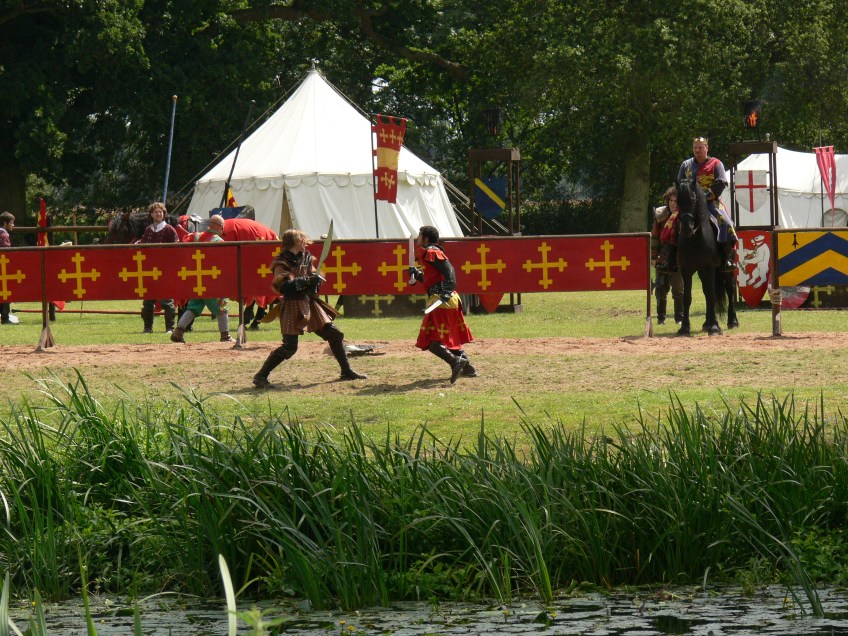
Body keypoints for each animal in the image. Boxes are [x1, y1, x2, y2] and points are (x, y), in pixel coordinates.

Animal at [675, 177, 738, 335]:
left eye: (693, 198)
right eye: (678, 200)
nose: (687, 228)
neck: (695, 239)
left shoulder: (709, 268)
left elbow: (711, 295)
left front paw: (715, 327)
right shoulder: (686, 270)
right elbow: (688, 297)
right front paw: (684, 327)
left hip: (725, 270)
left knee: (729, 289)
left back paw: (732, 321)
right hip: (702, 272)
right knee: (706, 291)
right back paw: (707, 323)